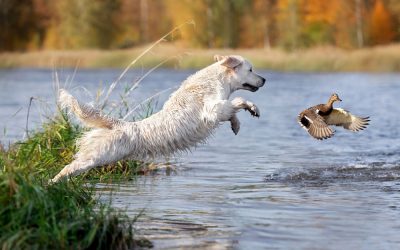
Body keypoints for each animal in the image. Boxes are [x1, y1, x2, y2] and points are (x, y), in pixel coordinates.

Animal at [50, 55, 266, 182]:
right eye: (251, 69)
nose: (264, 79)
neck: (216, 80)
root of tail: (119, 125)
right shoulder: (212, 109)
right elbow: (237, 101)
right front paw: (253, 108)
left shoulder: (219, 108)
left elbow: (233, 110)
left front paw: (236, 124)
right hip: (96, 156)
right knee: (68, 168)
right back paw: (51, 184)